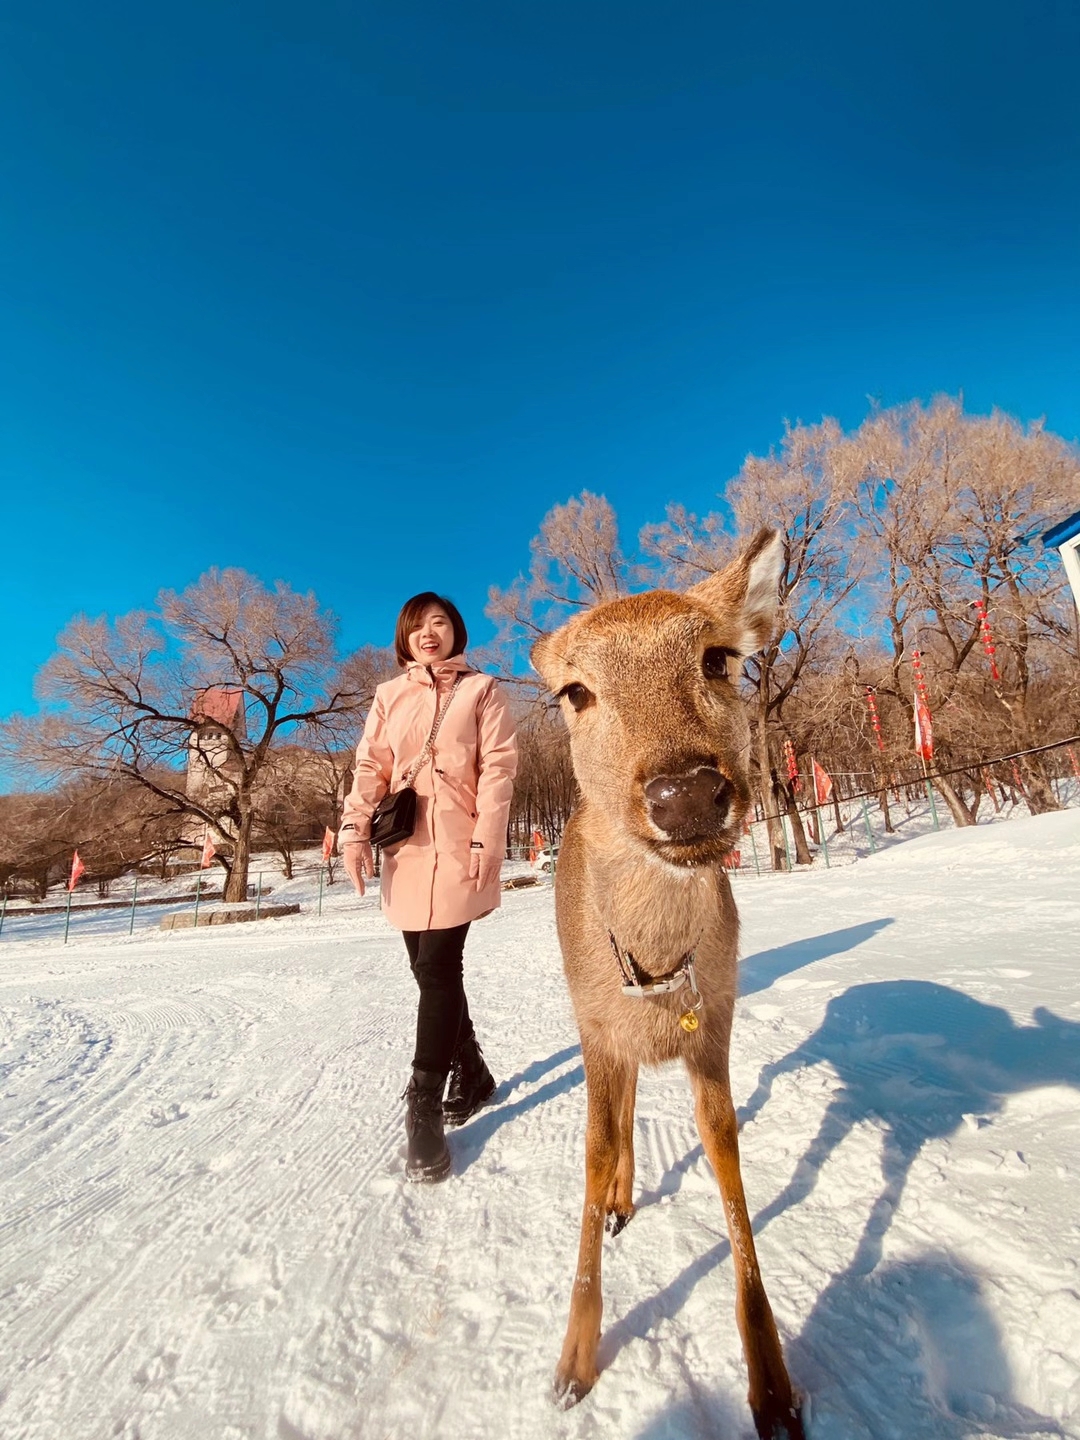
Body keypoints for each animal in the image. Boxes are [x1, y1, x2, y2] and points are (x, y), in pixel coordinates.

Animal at [538, 529, 806, 1440]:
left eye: (720, 657)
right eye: (573, 691)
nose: (685, 792)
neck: (655, 973)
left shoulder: (714, 1020)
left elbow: (726, 1155)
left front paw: (774, 1392)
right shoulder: (594, 1029)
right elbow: (589, 1154)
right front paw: (571, 1369)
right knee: (616, 1122)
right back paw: (623, 1199)